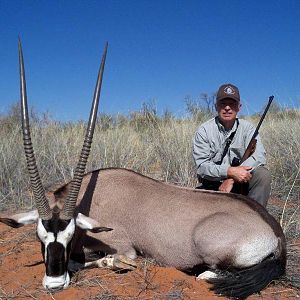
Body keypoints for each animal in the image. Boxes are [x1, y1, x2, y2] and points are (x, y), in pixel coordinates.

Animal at [0, 40, 286, 300]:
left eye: (69, 238)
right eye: (40, 237)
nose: (55, 284)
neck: (91, 197)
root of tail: (276, 234)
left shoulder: (122, 246)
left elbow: (93, 260)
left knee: (210, 272)